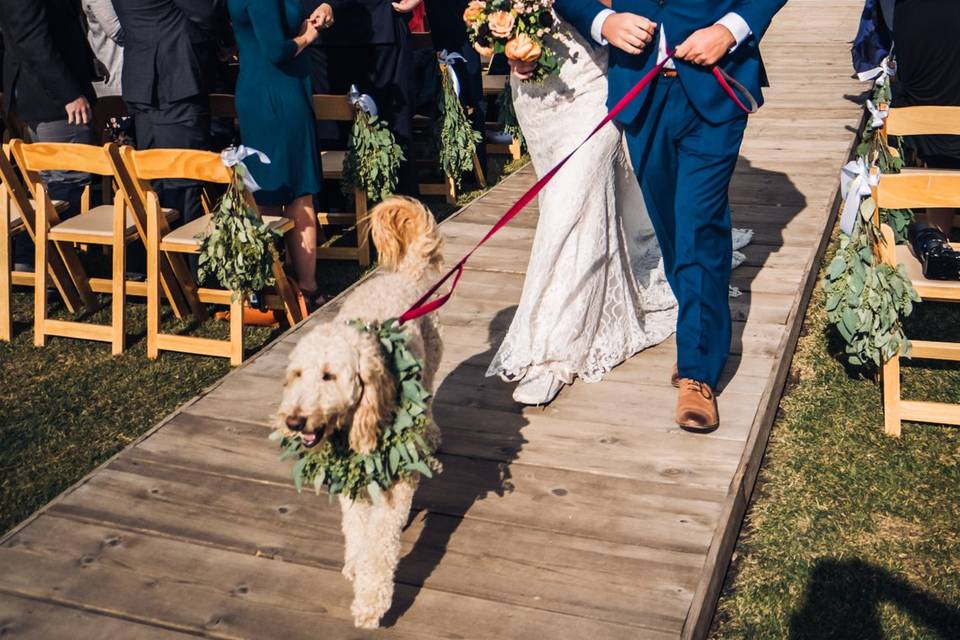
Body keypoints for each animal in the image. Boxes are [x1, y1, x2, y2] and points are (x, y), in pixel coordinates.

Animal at [276, 196, 444, 632]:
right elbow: (355, 526)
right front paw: (354, 561)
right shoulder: (353, 472)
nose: (293, 421)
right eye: (297, 375)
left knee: (429, 402)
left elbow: (379, 543)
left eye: (329, 376)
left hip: (431, 365)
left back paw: (430, 434)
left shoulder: (394, 476)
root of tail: (402, 276)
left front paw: (370, 600)